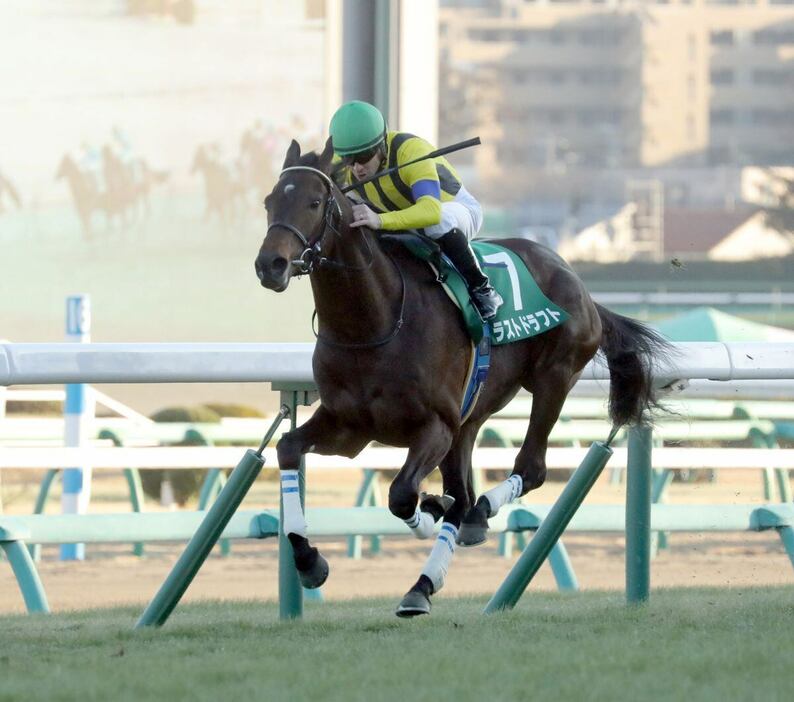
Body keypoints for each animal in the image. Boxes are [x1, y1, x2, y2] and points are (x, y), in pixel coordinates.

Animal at [254, 139, 676, 620]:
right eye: (269, 201)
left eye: (314, 202)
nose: (270, 264)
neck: (375, 322)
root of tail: (581, 285)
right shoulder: (349, 426)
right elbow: (288, 448)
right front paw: (309, 560)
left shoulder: (434, 426)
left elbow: (402, 495)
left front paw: (427, 513)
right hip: (470, 418)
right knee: (465, 491)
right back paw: (427, 575)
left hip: (553, 378)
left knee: (526, 470)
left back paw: (463, 530)